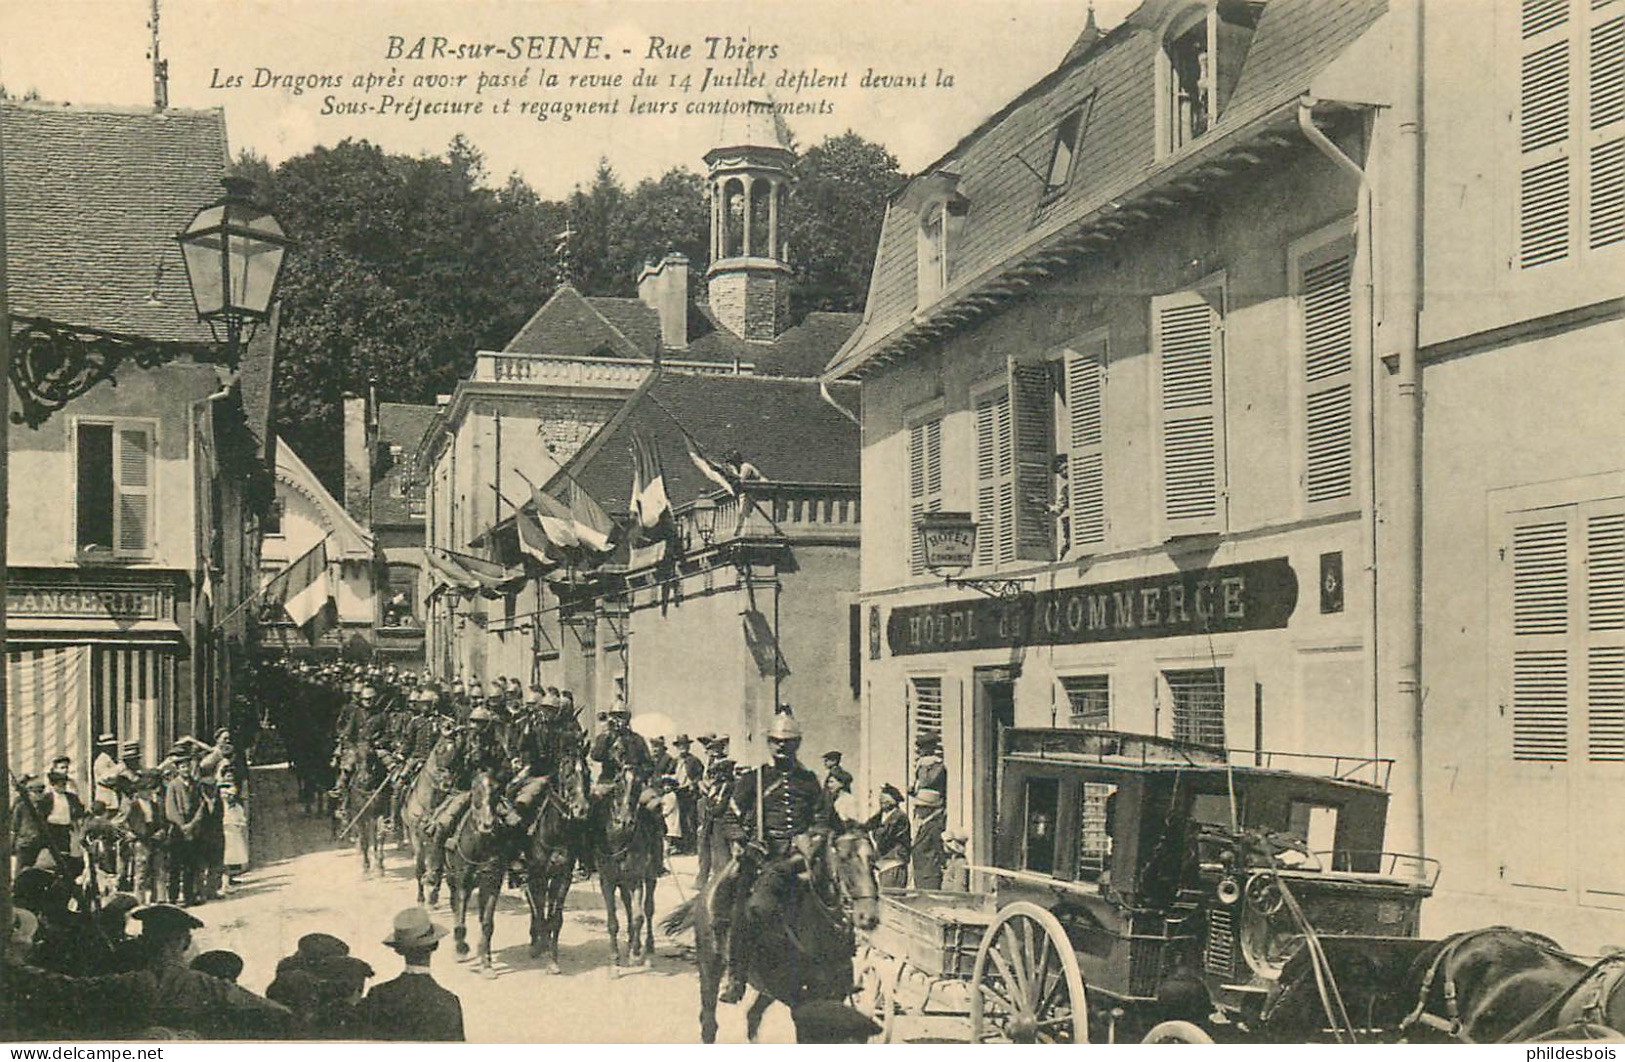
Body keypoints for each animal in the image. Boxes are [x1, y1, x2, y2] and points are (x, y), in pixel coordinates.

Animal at [442, 766, 503, 980]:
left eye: (497, 789)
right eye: (474, 789)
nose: (488, 824)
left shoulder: (492, 884)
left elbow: (487, 924)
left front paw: (486, 963)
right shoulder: (463, 882)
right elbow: (460, 920)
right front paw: (461, 949)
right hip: (451, 878)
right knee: (455, 906)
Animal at [598, 769, 659, 980]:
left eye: (639, 785)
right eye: (617, 783)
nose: (625, 822)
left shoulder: (636, 879)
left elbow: (639, 917)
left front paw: (635, 954)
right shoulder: (607, 881)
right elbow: (612, 922)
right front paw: (614, 962)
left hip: (650, 877)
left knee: (648, 909)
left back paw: (647, 946)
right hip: (622, 883)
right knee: (627, 904)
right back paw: (632, 940)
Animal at [659, 828, 884, 1045]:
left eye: (873, 861)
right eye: (844, 859)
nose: (868, 916)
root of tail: (707, 891)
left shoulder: (832, 994)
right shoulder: (799, 1000)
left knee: (752, 1016)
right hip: (710, 968)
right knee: (709, 1023)